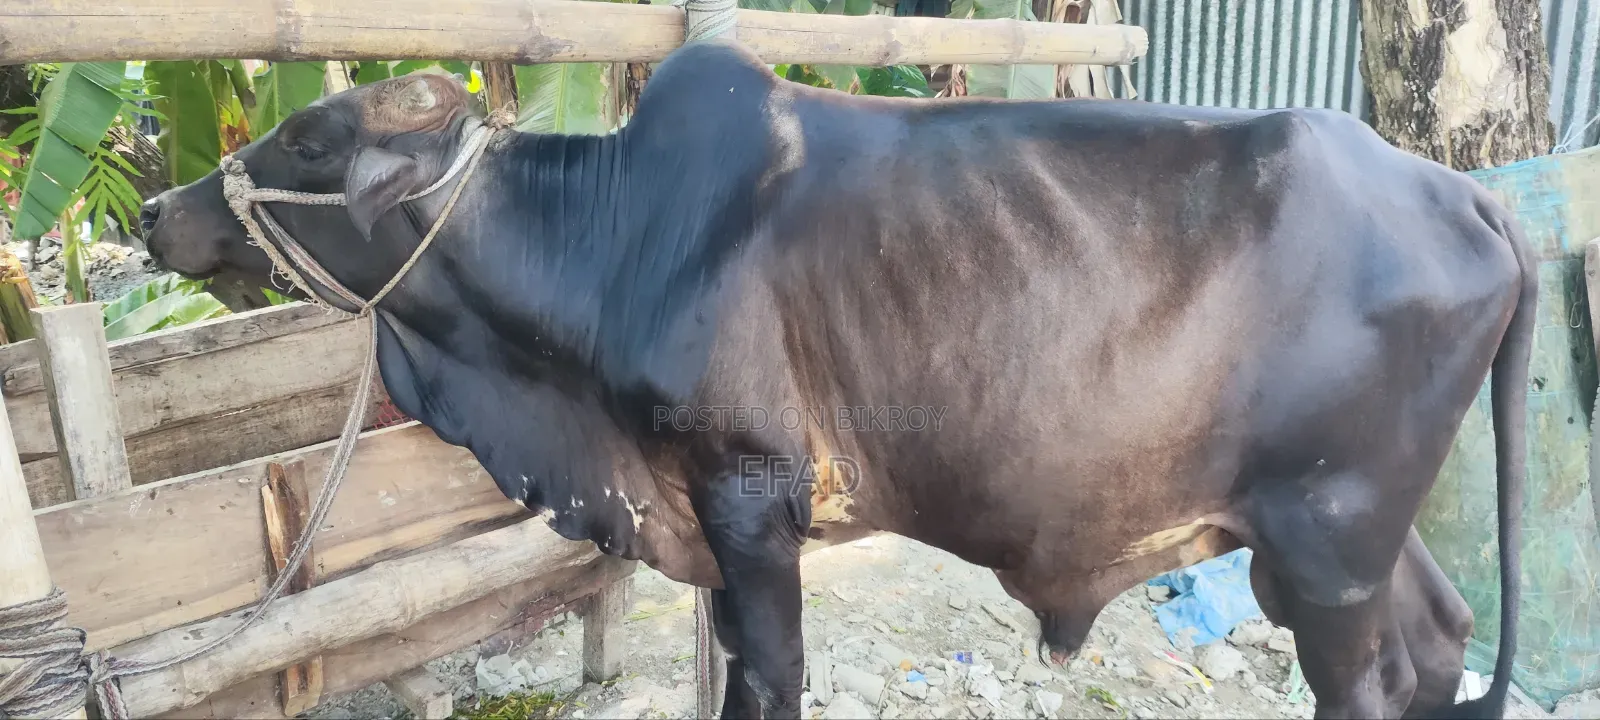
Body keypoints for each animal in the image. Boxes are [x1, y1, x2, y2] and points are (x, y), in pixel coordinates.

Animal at [140, 39, 1533, 720]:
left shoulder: (750, 498)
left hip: (1329, 543)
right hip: (1343, 533)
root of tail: (1458, 192)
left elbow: (772, 681)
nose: (156, 213)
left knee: (1370, 683)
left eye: (306, 139)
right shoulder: (702, 520)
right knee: (1440, 639)